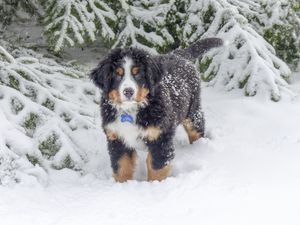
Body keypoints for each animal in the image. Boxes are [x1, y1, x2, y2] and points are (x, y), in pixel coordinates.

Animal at [90, 37, 224, 182]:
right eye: (117, 75)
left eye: (138, 74)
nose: (128, 91)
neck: (132, 110)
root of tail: (179, 54)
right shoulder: (117, 138)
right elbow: (121, 167)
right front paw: (122, 185)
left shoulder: (160, 137)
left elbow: (157, 168)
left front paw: (155, 185)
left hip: (192, 111)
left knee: (196, 130)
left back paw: (199, 148)